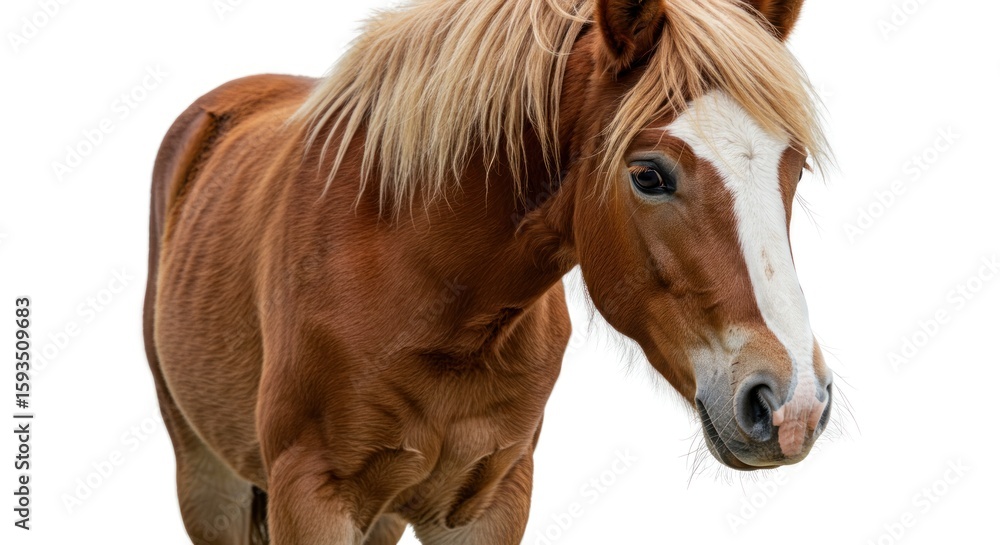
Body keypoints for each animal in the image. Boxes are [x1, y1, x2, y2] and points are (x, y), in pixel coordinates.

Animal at [143, 0, 834, 543]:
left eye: (794, 167)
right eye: (648, 174)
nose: (791, 404)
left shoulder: (490, 500)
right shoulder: (310, 497)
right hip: (208, 482)